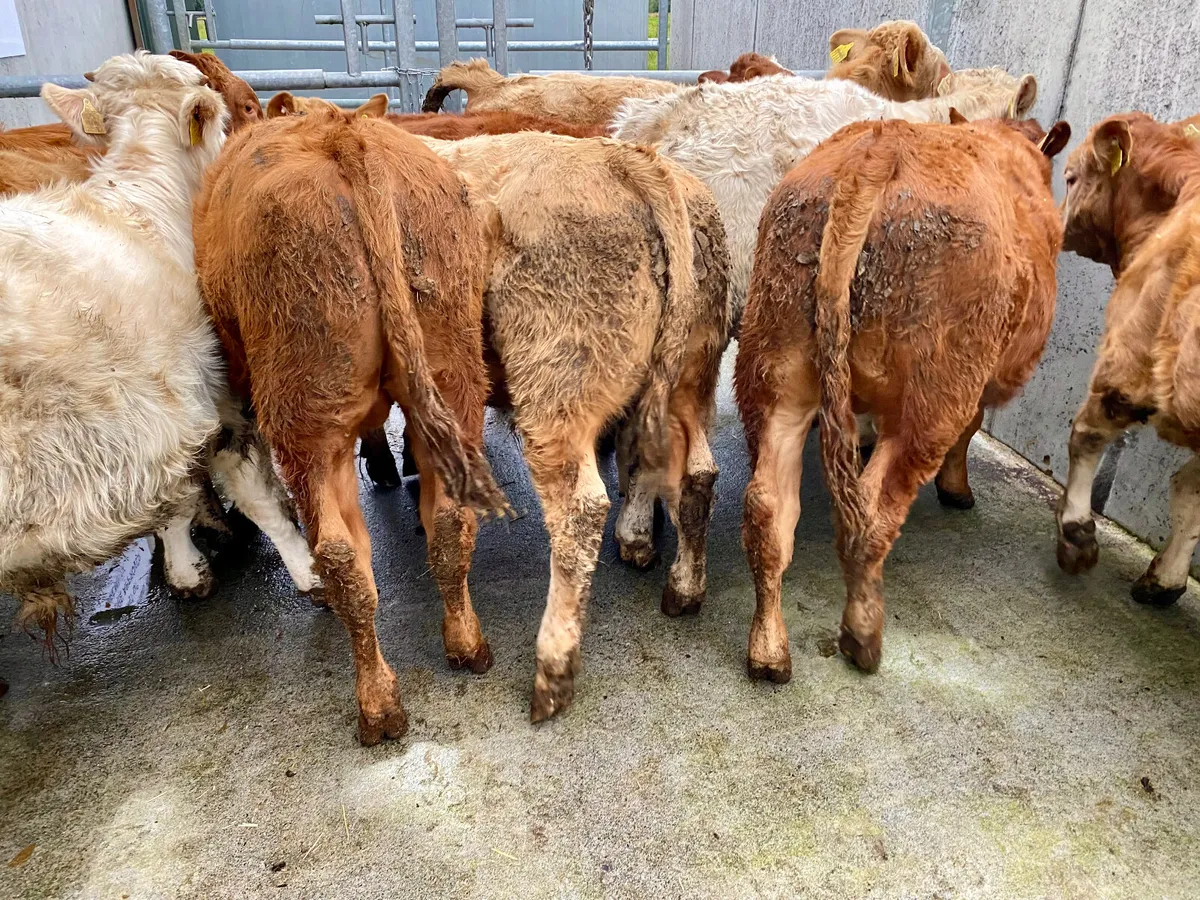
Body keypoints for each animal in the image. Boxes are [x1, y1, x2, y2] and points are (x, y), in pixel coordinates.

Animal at [0, 52, 316, 654]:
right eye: (241, 108)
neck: (145, 201)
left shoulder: (161, 423)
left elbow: (173, 498)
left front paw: (186, 569)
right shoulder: (212, 397)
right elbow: (247, 492)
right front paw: (307, 569)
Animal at [735, 115, 1069, 681]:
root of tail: (879, 149)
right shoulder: (975, 388)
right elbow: (971, 432)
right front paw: (958, 490)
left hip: (776, 369)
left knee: (768, 510)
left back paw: (769, 649)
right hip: (936, 394)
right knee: (871, 512)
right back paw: (862, 635)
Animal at [1055, 113, 1200, 607]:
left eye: (1071, 177)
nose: (1054, 224)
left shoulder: (1128, 360)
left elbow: (1086, 434)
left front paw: (1076, 531)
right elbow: (1191, 490)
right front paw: (1166, 579)